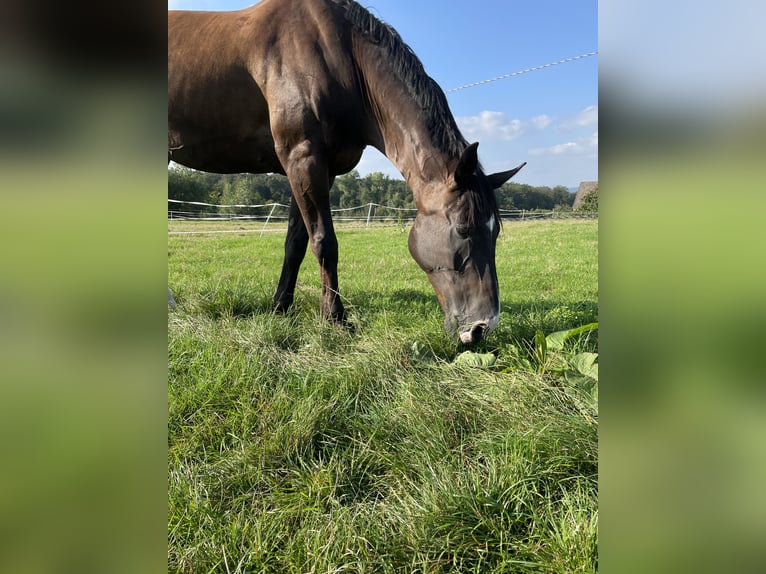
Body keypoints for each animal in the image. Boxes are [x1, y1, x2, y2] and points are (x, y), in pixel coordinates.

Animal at [168, 0, 528, 344]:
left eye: (495, 231)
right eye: (464, 228)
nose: (481, 328)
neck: (340, 57)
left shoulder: (316, 169)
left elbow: (296, 242)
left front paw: (281, 307)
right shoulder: (304, 159)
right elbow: (324, 242)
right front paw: (335, 318)